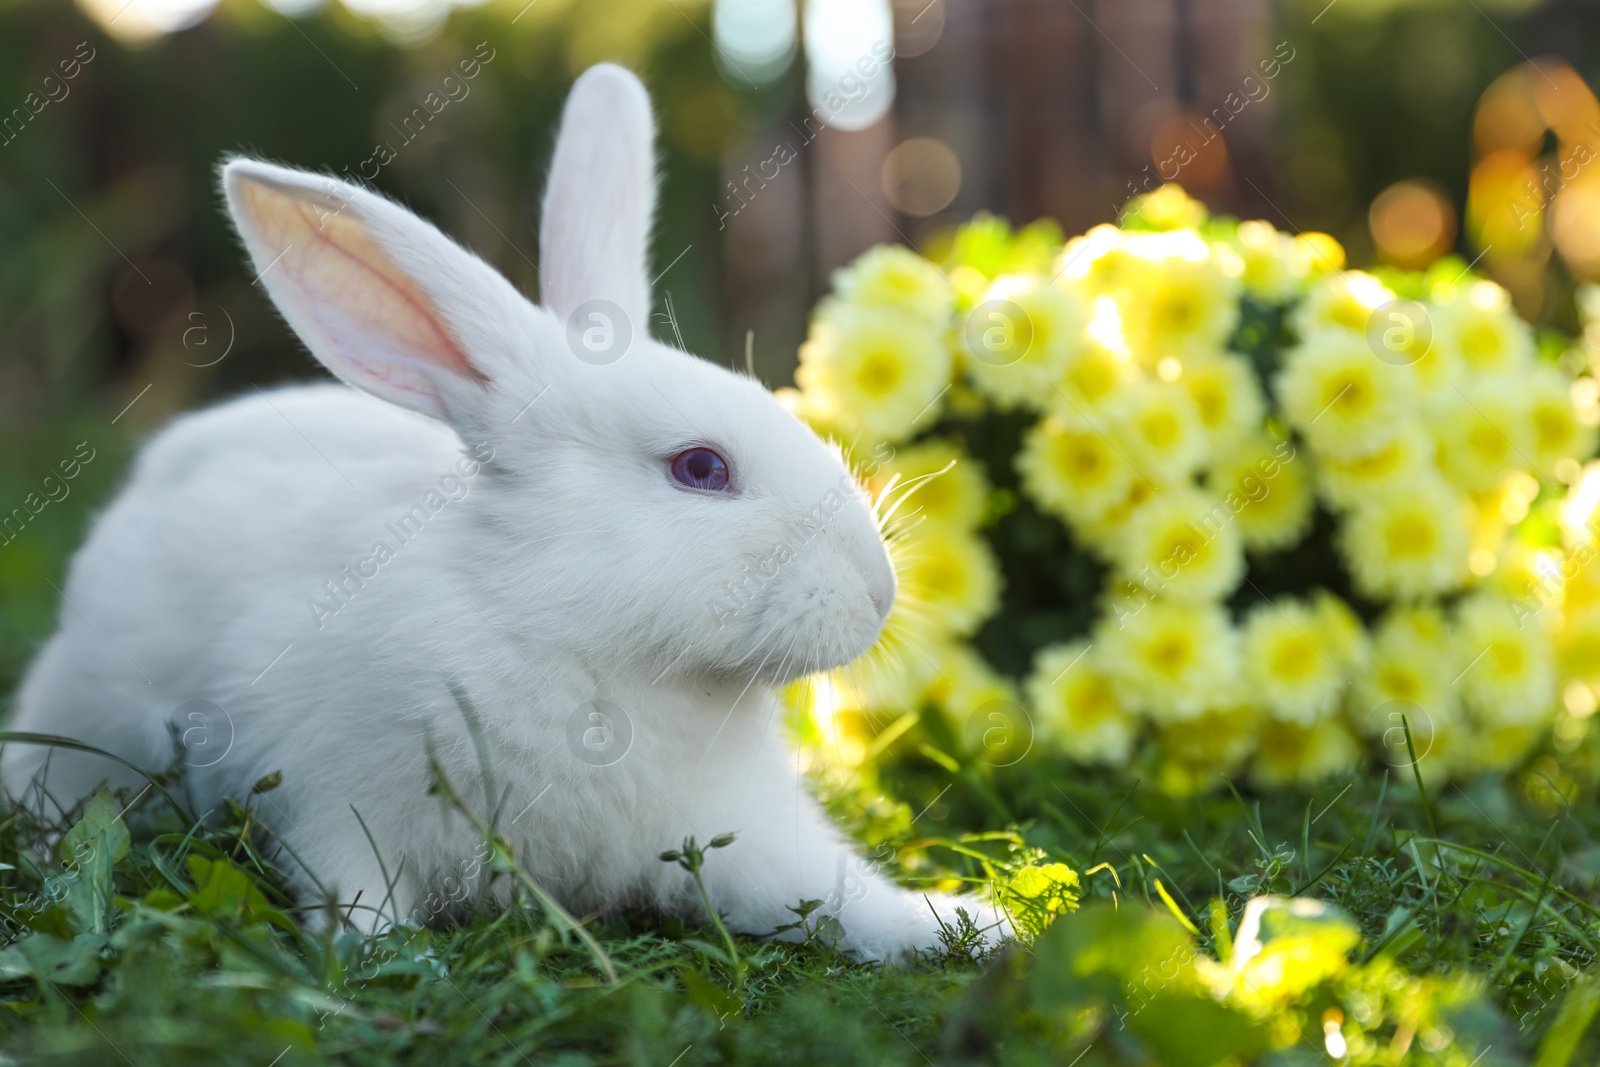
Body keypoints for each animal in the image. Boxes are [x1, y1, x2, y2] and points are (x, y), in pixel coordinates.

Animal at [3, 64, 998, 959]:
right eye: (702, 468)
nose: (879, 592)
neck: (585, 642)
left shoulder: (748, 839)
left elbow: (837, 898)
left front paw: (974, 925)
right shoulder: (336, 801)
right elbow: (354, 889)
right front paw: (382, 957)